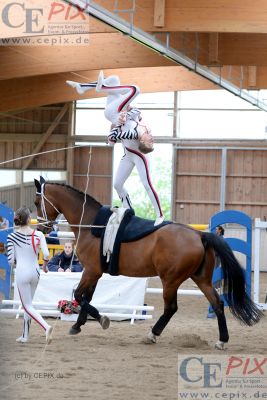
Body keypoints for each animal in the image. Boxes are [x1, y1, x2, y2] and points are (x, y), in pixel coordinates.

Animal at [34, 177, 264, 348]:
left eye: (37, 203)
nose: (44, 227)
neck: (92, 224)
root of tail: (200, 235)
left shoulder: (90, 271)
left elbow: (80, 296)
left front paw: (101, 319)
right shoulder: (94, 273)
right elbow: (86, 297)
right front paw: (78, 325)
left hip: (170, 280)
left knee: (171, 308)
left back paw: (153, 334)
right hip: (201, 279)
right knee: (217, 304)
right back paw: (222, 340)